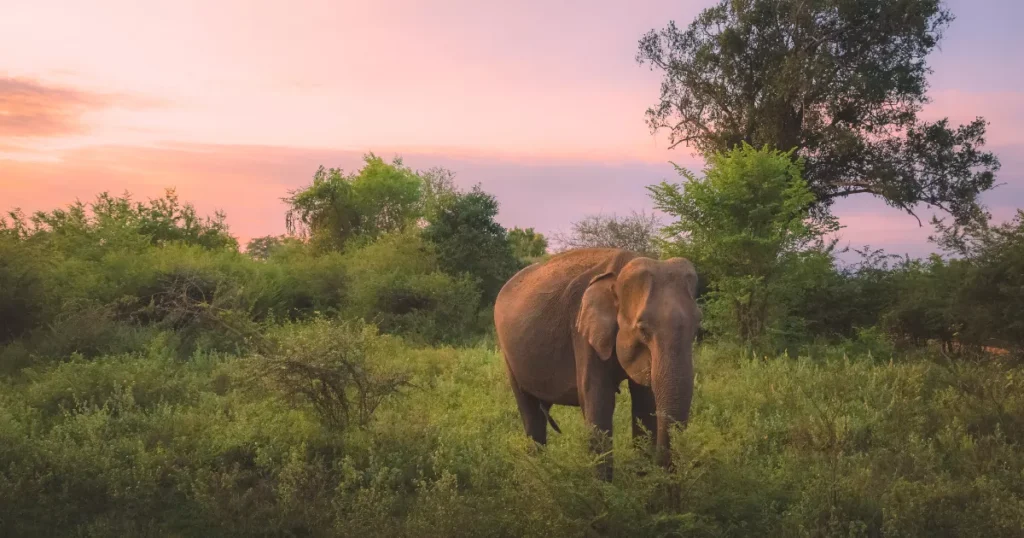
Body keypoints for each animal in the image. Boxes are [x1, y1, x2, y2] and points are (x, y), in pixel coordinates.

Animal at [491, 247, 700, 477]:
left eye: (697, 326)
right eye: (643, 330)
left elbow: (645, 404)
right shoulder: (582, 331)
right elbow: (598, 400)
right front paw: (603, 487)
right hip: (508, 354)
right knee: (530, 414)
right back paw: (537, 473)